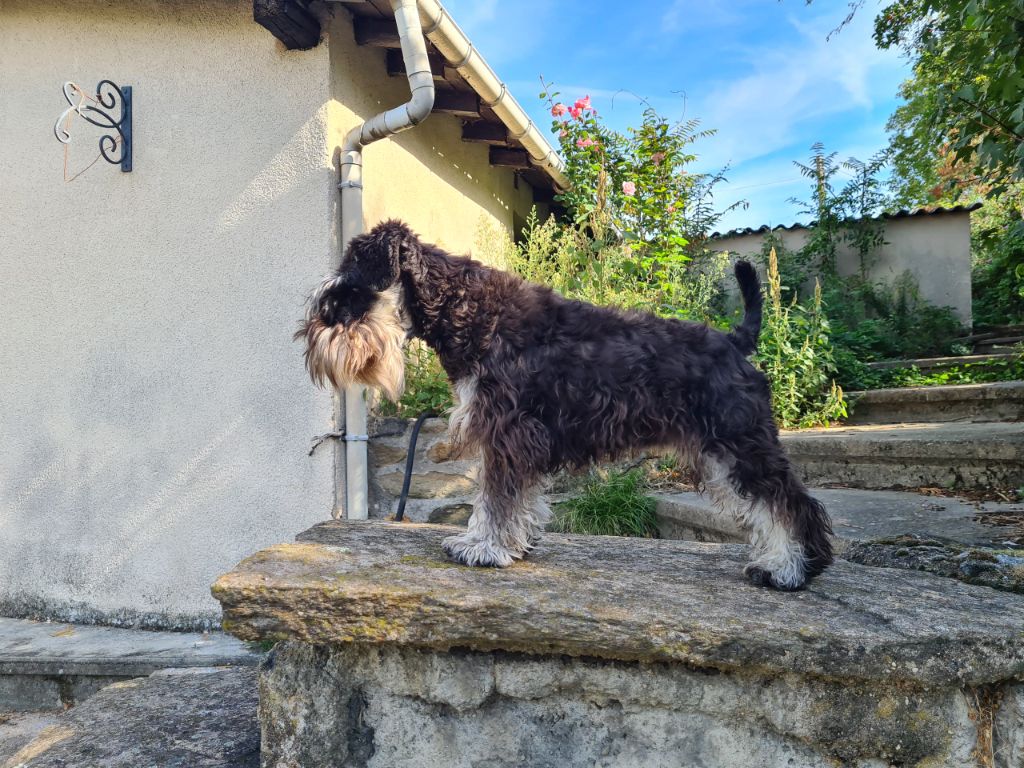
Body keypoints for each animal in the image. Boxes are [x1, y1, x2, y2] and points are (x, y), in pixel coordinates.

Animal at [296, 219, 831, 593]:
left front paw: (483, 548)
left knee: (789, 501)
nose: (312, 341)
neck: (468, 311)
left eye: (347, 293)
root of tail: (735, 342)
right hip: (722, 451)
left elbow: (497, 498)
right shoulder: (515, 439)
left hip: (741, 444)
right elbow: (517, 499)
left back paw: (791, 570)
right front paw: (510, 542)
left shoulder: (507, 433)